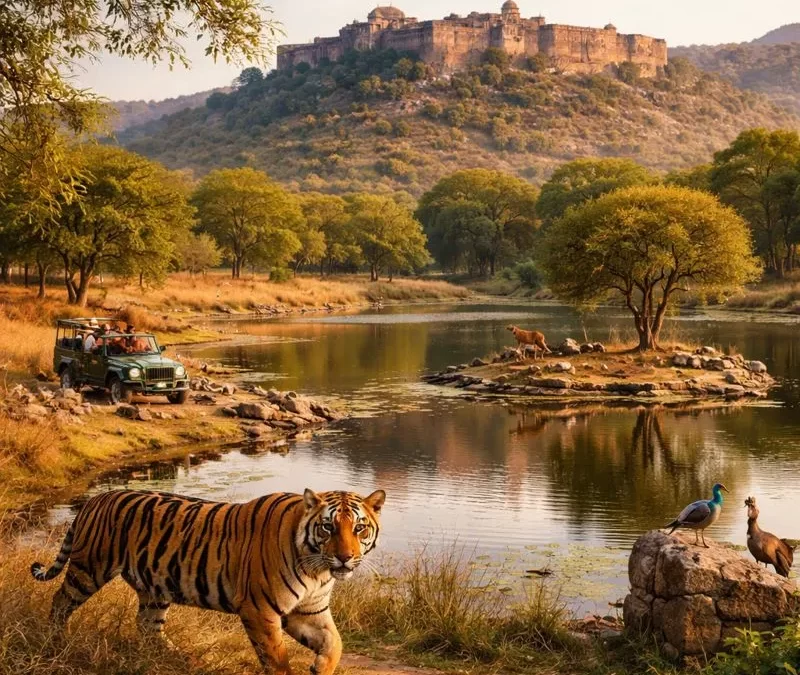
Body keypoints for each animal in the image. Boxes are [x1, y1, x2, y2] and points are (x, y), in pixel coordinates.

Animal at [31, 487, 386, 675]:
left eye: (359, 528)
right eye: (328, 527)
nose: (345, 557)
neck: (318, 570)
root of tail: (96, 498)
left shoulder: (309, 611)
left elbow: (335, 643)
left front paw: (320, 667)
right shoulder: (261, 611)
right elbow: (276, 659)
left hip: (155, 587)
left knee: (147, 626)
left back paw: (181, 658)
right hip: (88, 570)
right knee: (60, 601)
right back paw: (55, 639)